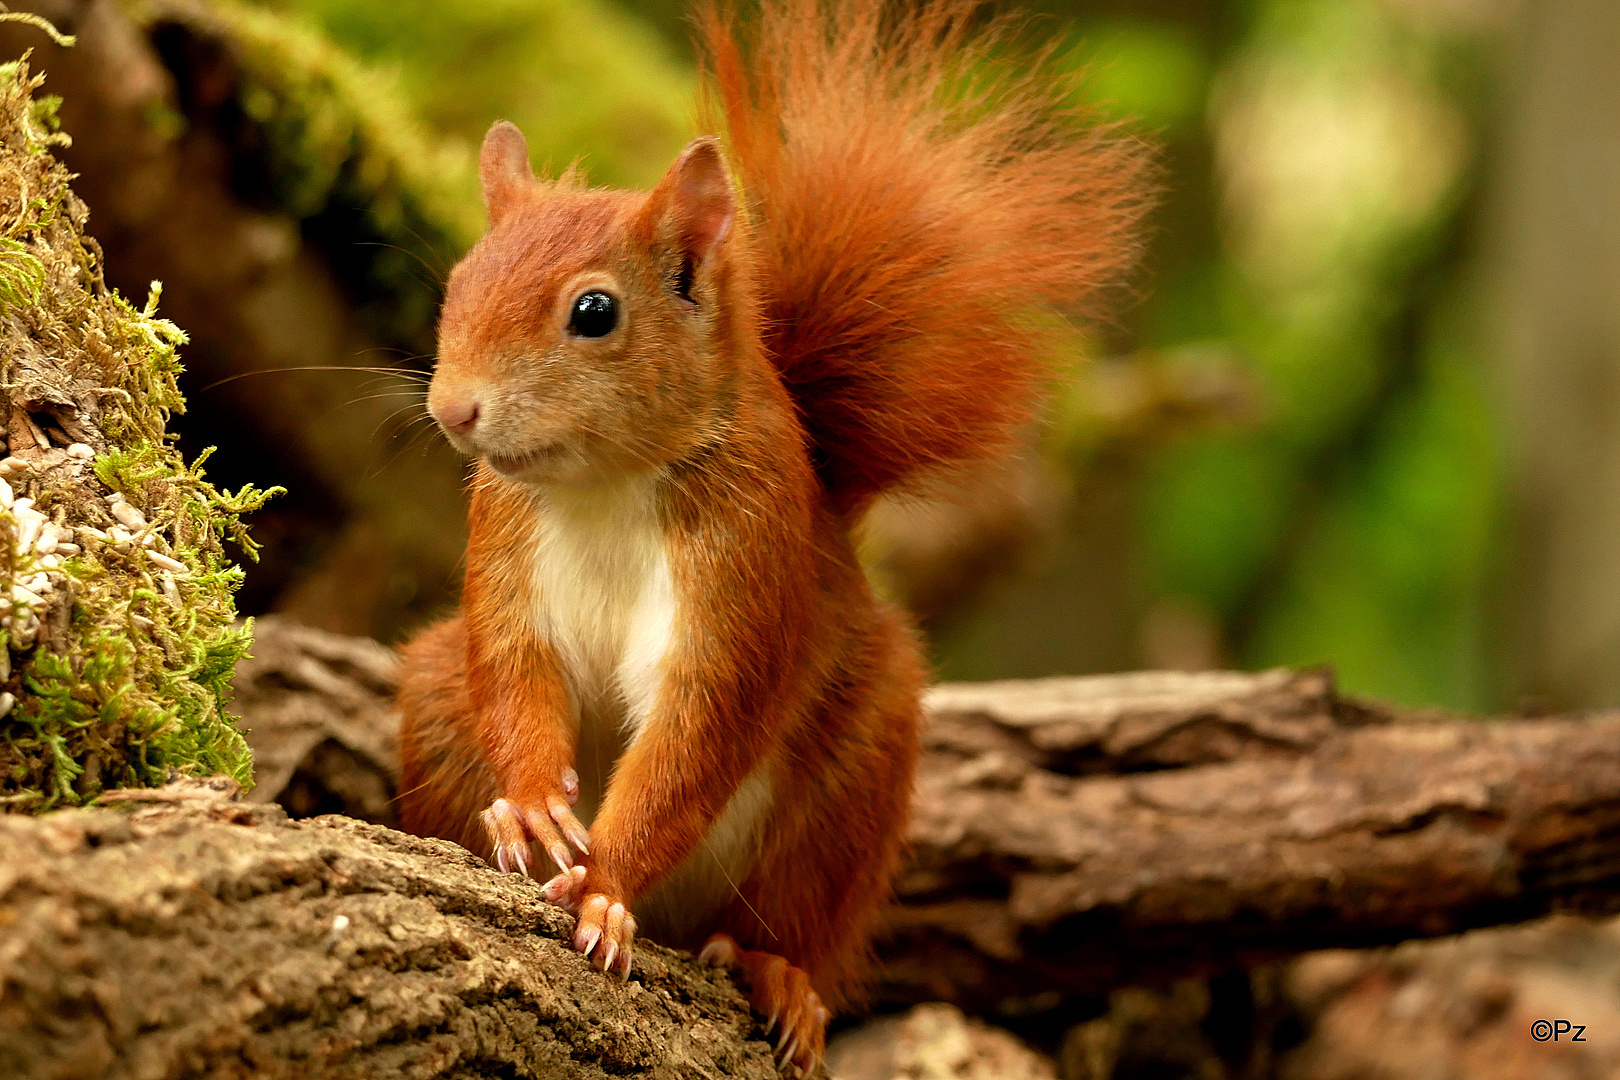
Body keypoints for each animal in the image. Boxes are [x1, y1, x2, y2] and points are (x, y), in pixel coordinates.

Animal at [396, 0, 1146, 1062]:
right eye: (459, 281)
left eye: (595, 310)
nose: (454, 410)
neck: (606, 485)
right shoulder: (504, 537)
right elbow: (513, 669)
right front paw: (534, 804)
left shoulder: (743, 561)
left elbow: (698, 732)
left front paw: (604, 888)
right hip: (433, 698)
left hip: (849, 788)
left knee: (791, 917)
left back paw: (776, 975)